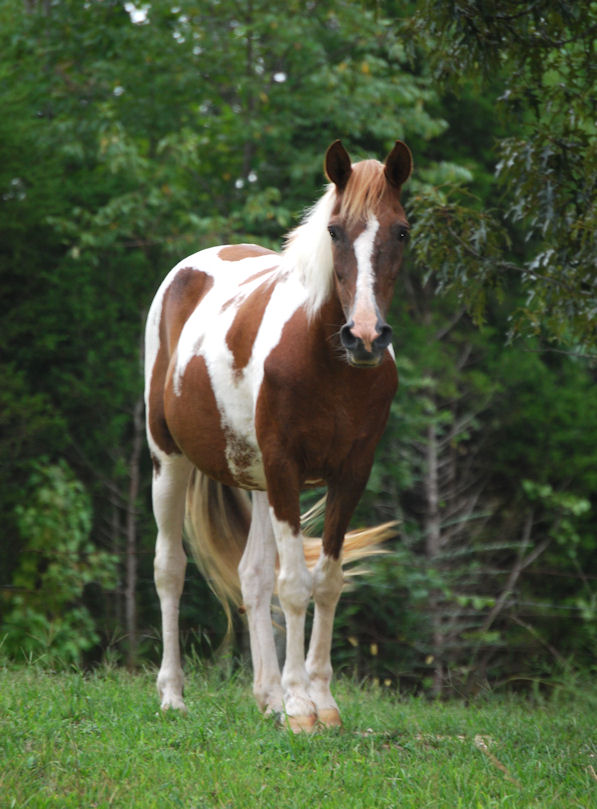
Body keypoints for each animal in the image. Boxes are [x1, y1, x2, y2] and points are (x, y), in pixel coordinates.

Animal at [147, 139, 412, 732]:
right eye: (335, 230)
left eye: (402, 231)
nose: (365, 337)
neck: (327, 363)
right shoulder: (286, 465)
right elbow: (294, 585)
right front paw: (298, 707)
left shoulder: (350, 472)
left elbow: (326, 582)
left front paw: (320, 701)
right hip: (169, 460)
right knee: (170, 569)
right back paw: (173, 695)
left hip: (259, 481)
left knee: (251, 574)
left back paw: (264, 695)